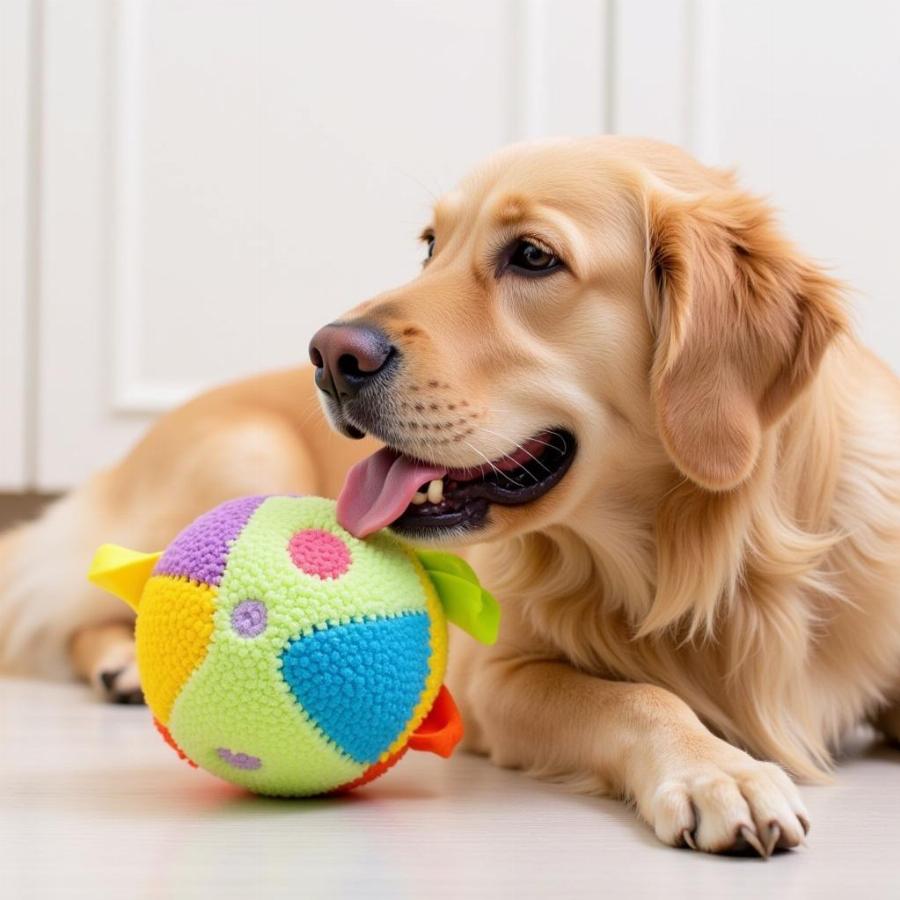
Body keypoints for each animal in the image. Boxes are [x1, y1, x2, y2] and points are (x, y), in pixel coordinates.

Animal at [1, 135, 900, 856]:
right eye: (431, 245)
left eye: (533, 256)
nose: (329, 355)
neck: (706, 552)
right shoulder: (499, 677)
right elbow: (639, 696)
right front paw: (721, 771)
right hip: (243, 455)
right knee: (94, 596)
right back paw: (121, 662)